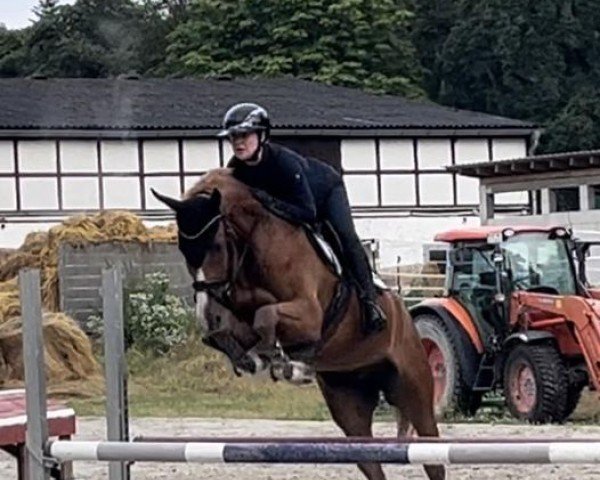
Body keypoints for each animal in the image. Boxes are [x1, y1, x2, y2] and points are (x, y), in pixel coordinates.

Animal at [154, 170, 446, 480]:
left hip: (415, 391)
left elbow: (266, 315)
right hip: (349, 405)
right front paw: (254, 359)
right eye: (183, 250)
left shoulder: (309, 315)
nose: (206, 314)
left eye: (217, 246)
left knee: (433, 457)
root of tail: (406, 317)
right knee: (370, 460)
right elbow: (226, 333)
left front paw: (284, 363)